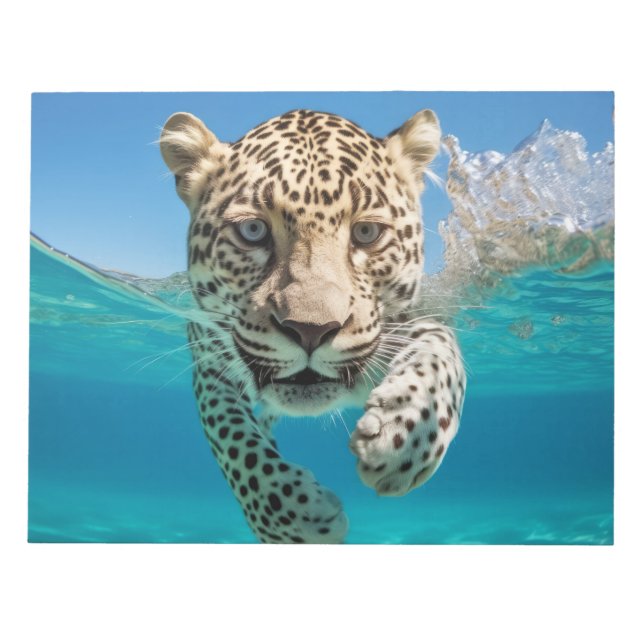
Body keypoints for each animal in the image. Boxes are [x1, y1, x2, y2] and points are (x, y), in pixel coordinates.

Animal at [159, 107, 466, 544]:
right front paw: (294, 519)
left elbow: (440, 350)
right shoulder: (209, 364)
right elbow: (231, 439)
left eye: (366, 233)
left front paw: (404, 434)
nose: (310, 331)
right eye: (252, 231)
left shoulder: (417, 318)